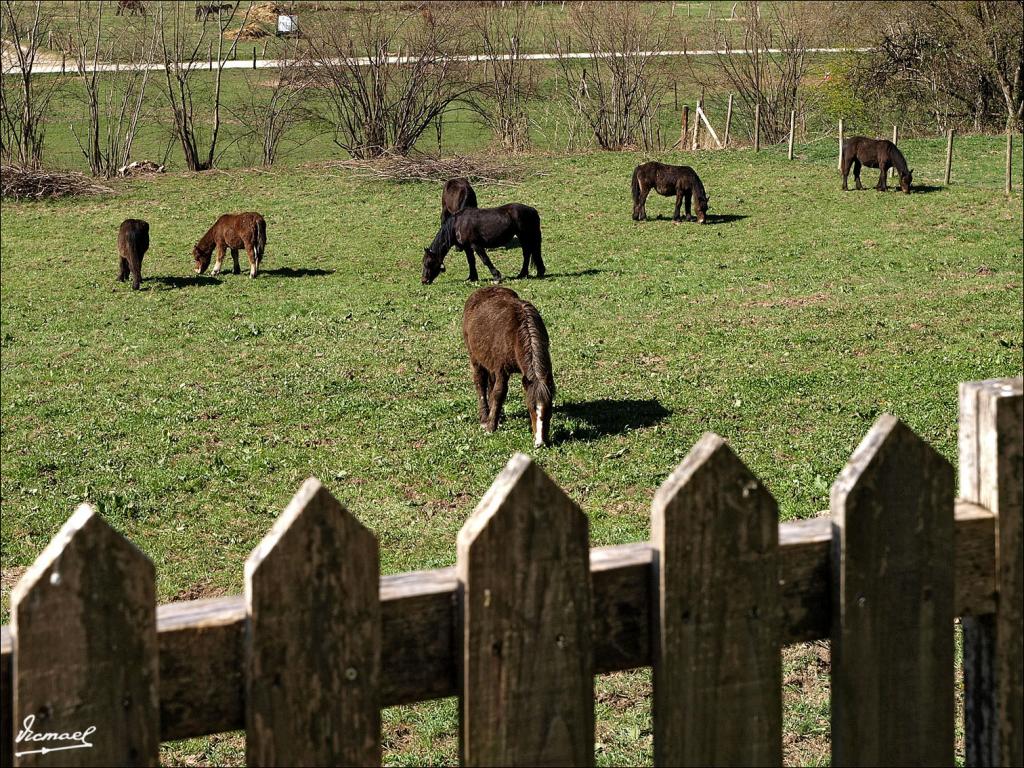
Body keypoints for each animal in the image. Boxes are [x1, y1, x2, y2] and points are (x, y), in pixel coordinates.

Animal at [464, 286, 557, 448]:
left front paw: (494, 418)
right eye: (530, 408)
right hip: (475, 358)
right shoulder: (501, 369)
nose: (540, 442)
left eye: (549, 408)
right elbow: (499, 393)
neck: (517, 334)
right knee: (480, 383)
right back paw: (484, 418)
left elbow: (495, 392)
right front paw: (491, 427)